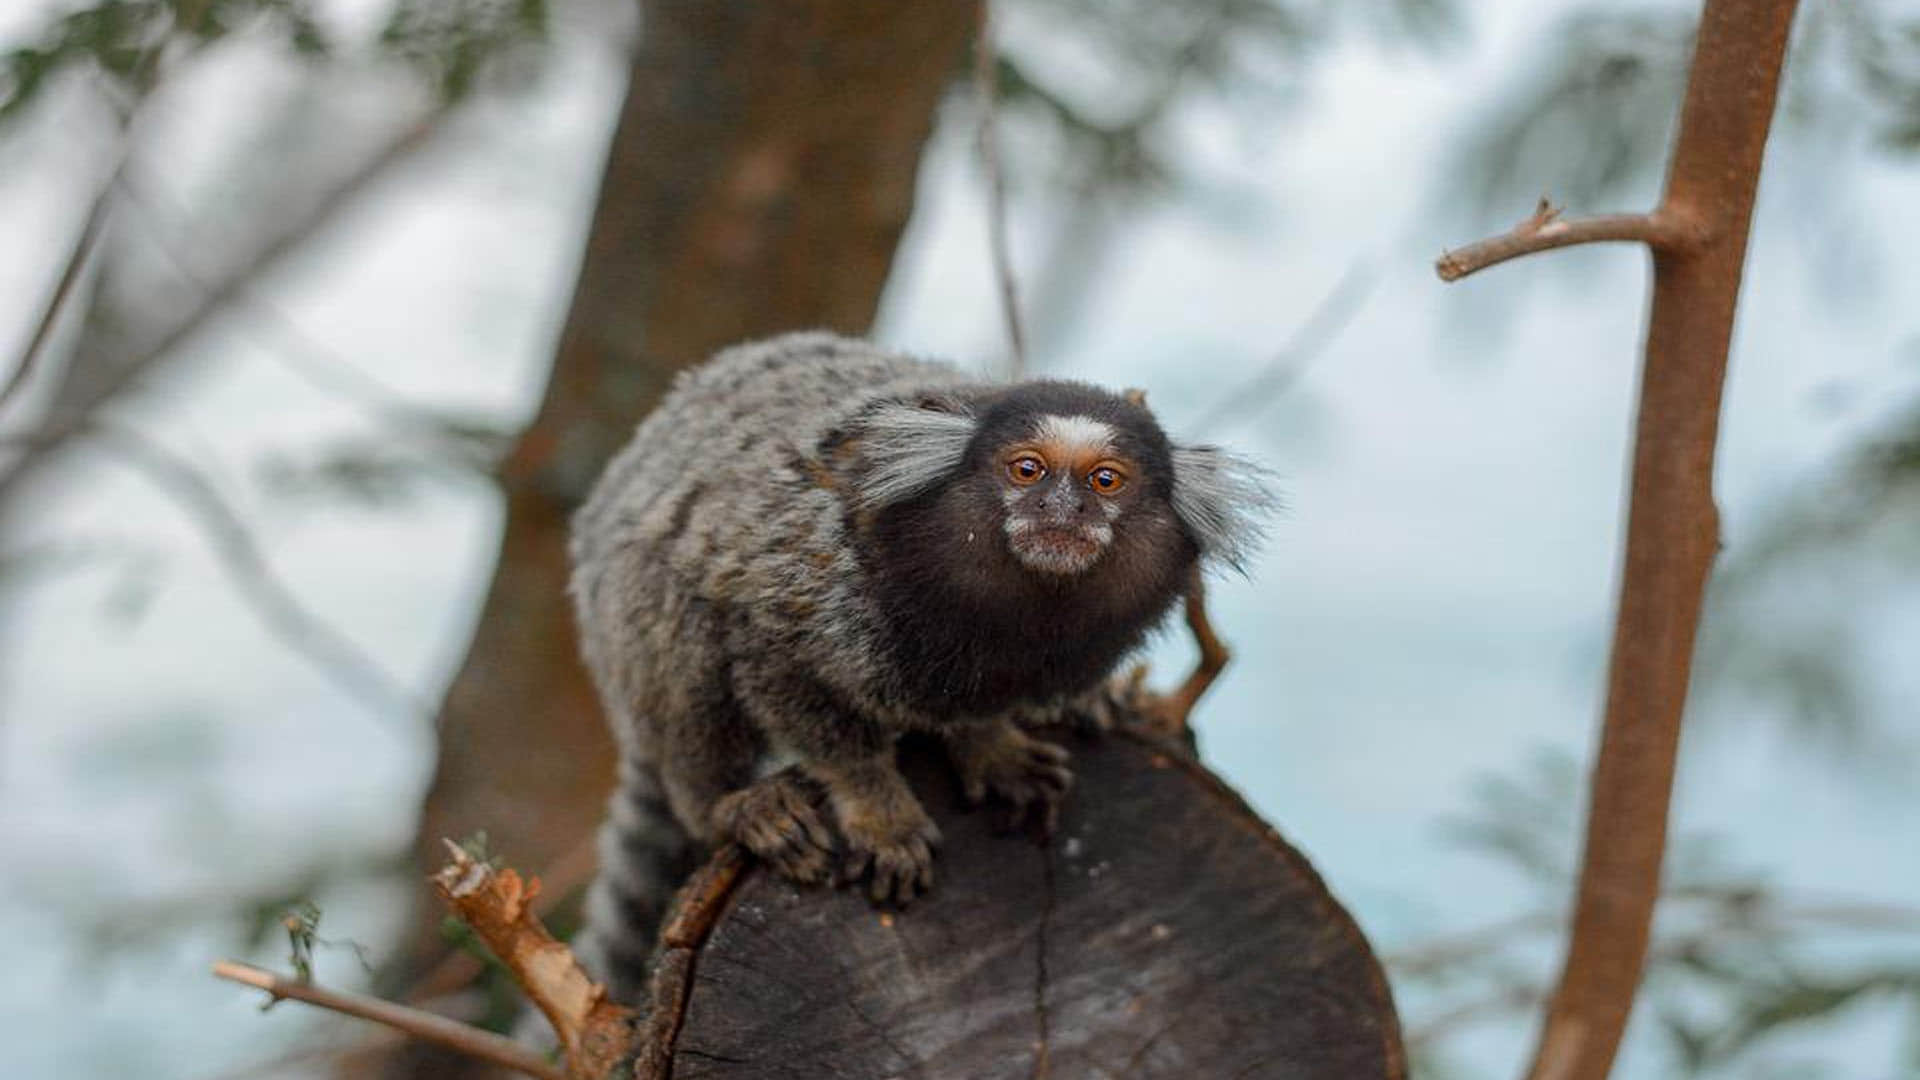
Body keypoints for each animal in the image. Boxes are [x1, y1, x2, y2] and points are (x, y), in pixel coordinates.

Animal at [567, 331, 1271, 1001]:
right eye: (1027, 470)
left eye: (1106, 481)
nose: (1063, 510)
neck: (1022, 613)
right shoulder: (812, 584)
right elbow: (787, 678)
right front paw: (879, 809)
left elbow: (980, 709)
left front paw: (990, 745)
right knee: (676, 623)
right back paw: (733, 802)